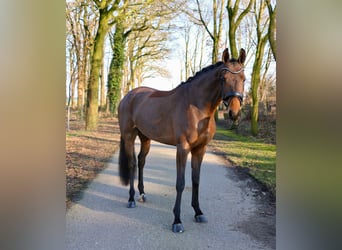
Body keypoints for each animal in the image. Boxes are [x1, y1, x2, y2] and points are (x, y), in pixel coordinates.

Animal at [117, 48, 246, 232]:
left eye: (244, 78)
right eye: (223, 78)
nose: (234, 113)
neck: (196, 107)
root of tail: (128, 96)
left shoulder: (200, 149)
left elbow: (196, 181)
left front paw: (198, 212)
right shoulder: (182, 148)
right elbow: (181, 183)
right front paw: (177, 221)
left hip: (145, 138)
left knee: (141, 161)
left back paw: (142, 194)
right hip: (129, 136)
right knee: (132, 164)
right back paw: (131, 199)